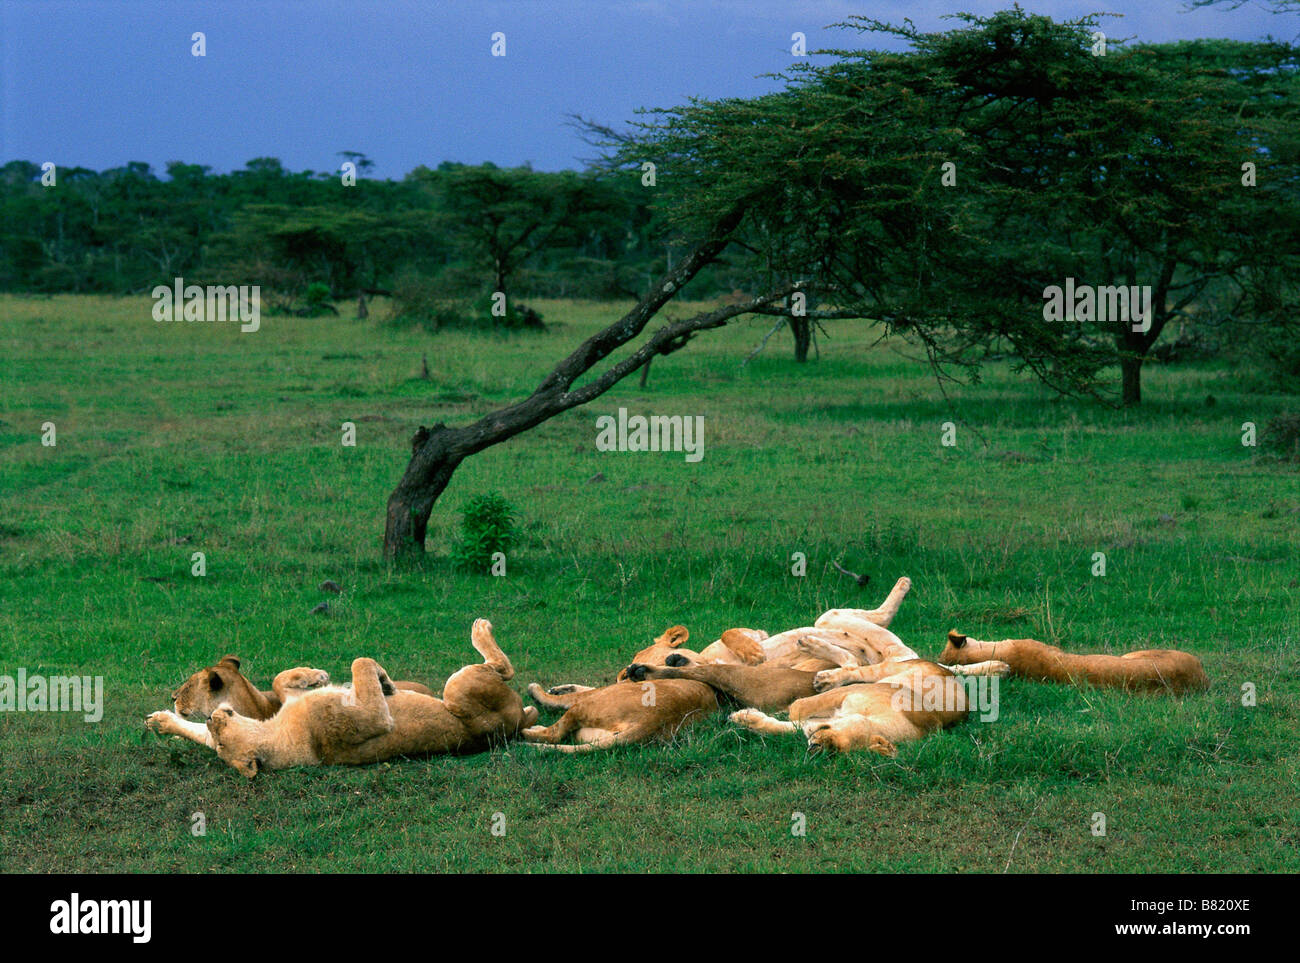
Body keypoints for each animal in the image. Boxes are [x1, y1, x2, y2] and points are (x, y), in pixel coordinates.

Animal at [145, 619, 537, 777]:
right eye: (225, 742)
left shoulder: (283, 702)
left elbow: (282, 679)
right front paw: (383, 682)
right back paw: (481, 629)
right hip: (458, 689)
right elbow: (360, 663)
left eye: (185, 687)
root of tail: (515, 722)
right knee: (502, 668)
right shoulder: (370, 718)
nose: (213, 719)